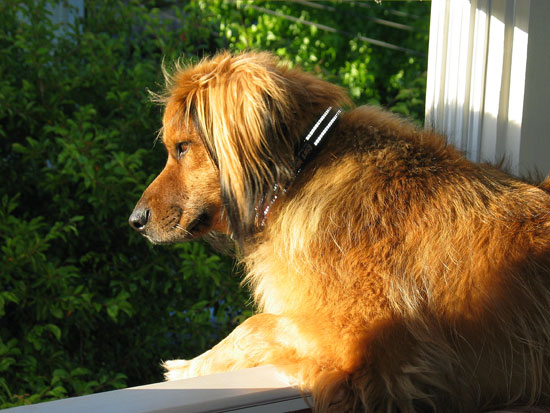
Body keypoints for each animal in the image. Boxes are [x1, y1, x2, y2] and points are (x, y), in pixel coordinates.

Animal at [130, 52, 550, 412]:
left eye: (182, 148)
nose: (135, 220)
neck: (302, 168)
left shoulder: (353, 345)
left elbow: (253, 326)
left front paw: (187, 368)